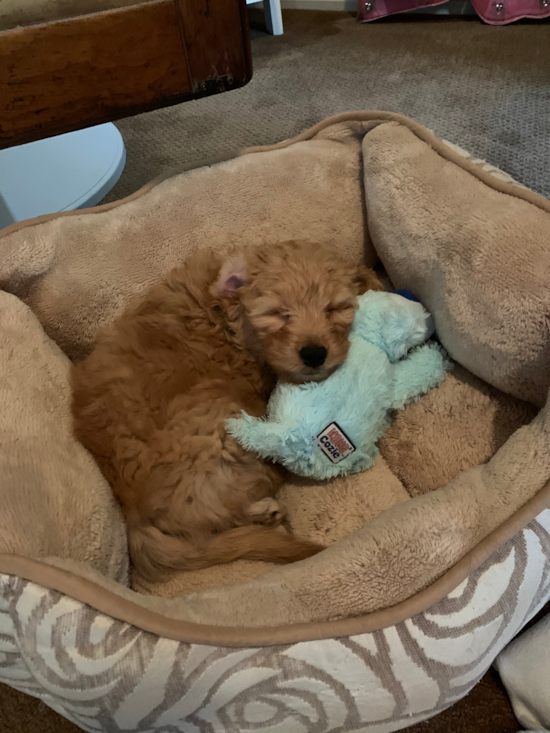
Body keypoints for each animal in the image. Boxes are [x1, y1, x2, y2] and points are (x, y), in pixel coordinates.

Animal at [71, 240, 384, 576]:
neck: (226, 319)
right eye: (278, 314)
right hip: (221, 431)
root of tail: (134, 516)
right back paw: (265, 510)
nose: (314, 354)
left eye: (335, 309)